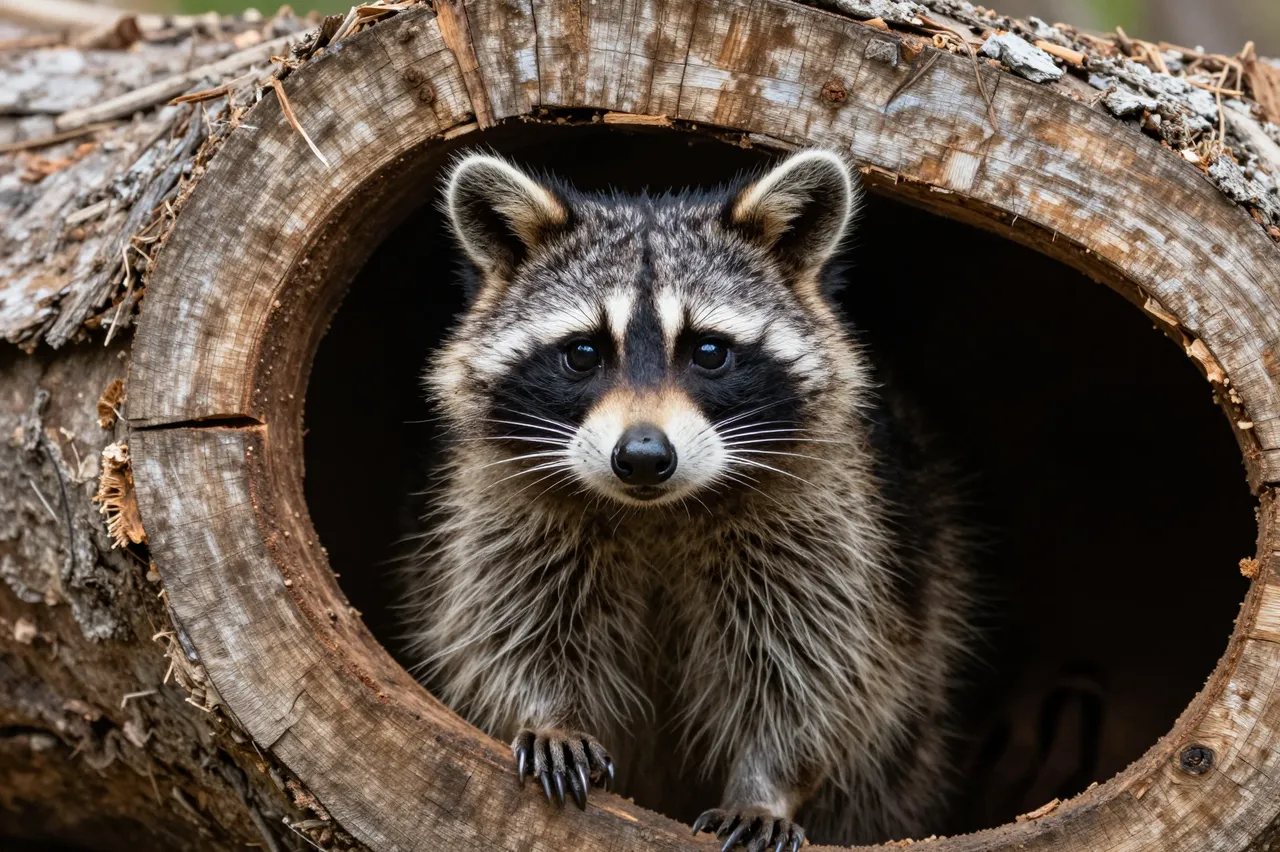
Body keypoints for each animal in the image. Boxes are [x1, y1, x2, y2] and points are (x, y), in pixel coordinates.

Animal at [406, 148, 973, 848]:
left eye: (709, 351)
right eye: (583, 352)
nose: (644, 457)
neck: (655, 513)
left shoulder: (823, 526)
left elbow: (815, 670)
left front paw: (767, 786)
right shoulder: (507, 512)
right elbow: (506, 626)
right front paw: (548, 715)